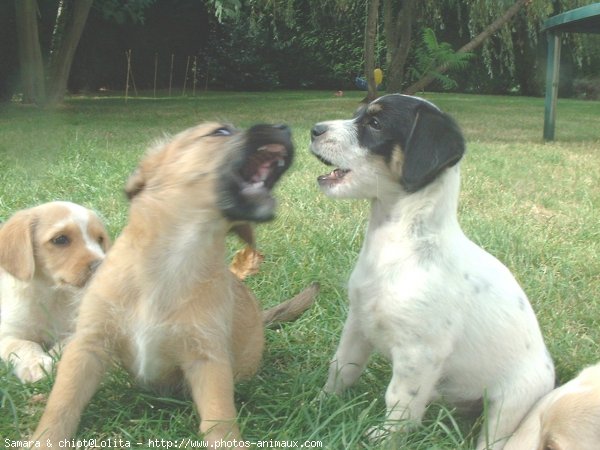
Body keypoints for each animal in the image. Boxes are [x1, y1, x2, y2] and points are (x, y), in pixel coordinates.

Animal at [0, 202, 110, 382]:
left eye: (100, 239)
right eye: (60, 240)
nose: (103, 267)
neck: (54, 296)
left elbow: (67, 342)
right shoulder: (7, 333)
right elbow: (25, 344)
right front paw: (36, 365)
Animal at [29, 120, 318, 450]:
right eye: (220, 132)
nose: (284, 127)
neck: (174, 261)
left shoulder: (207, 358)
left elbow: (219, 418)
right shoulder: (88, 345)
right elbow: (62, 404)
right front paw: (43, 439)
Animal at [312, 93, 556, 448]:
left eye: (375, 123)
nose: (314, 129)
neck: (397, 245)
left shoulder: (419, 354)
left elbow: (399, 400)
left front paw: (387, 436)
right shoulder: (358, 323)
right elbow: (342, 367)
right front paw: (321, 404)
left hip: (508, 406)